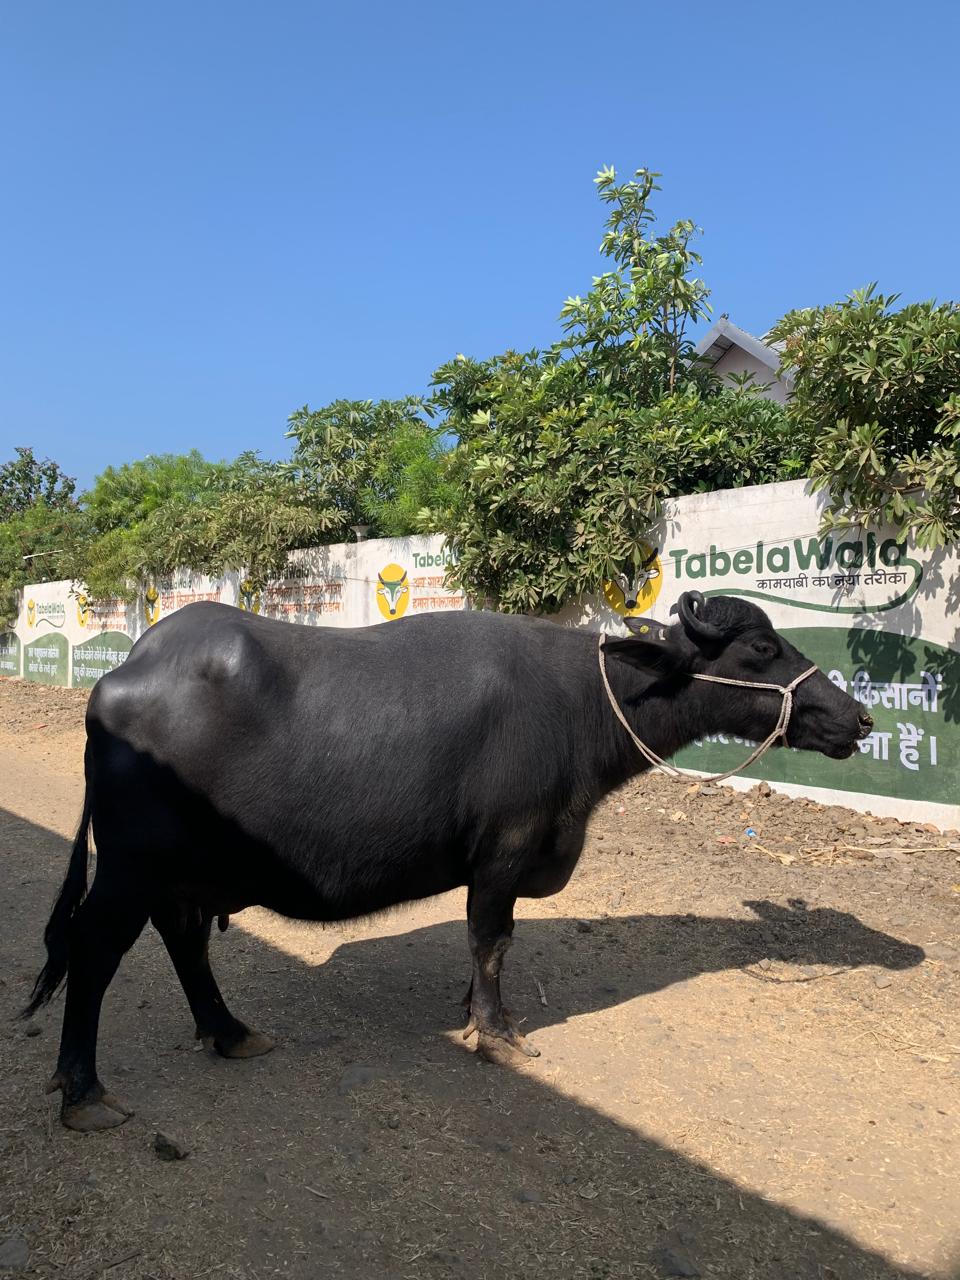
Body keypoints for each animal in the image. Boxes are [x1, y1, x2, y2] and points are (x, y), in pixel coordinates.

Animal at [26, 590, 871, 1131]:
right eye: (761, 648)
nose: (858, 716)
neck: (582, 702)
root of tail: (116, 682)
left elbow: (486, 945)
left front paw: (472, 1011)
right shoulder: (505, 848)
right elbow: (491, 940)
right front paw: (497, 1032)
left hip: (182, 870)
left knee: (184, 938)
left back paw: (231, 1031)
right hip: (130, 866)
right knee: (96, 947)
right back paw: (83, 1092)